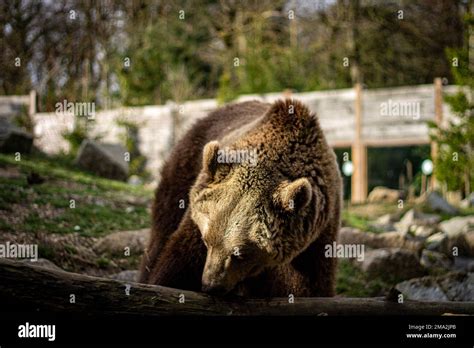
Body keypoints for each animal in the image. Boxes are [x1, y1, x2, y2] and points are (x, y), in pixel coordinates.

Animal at [139, 99, 342, 298]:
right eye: (207, 240)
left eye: (240, 254)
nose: (211, 285)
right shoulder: (197, 224)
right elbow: (177, 264)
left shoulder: (313, 244)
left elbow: (307, 287)